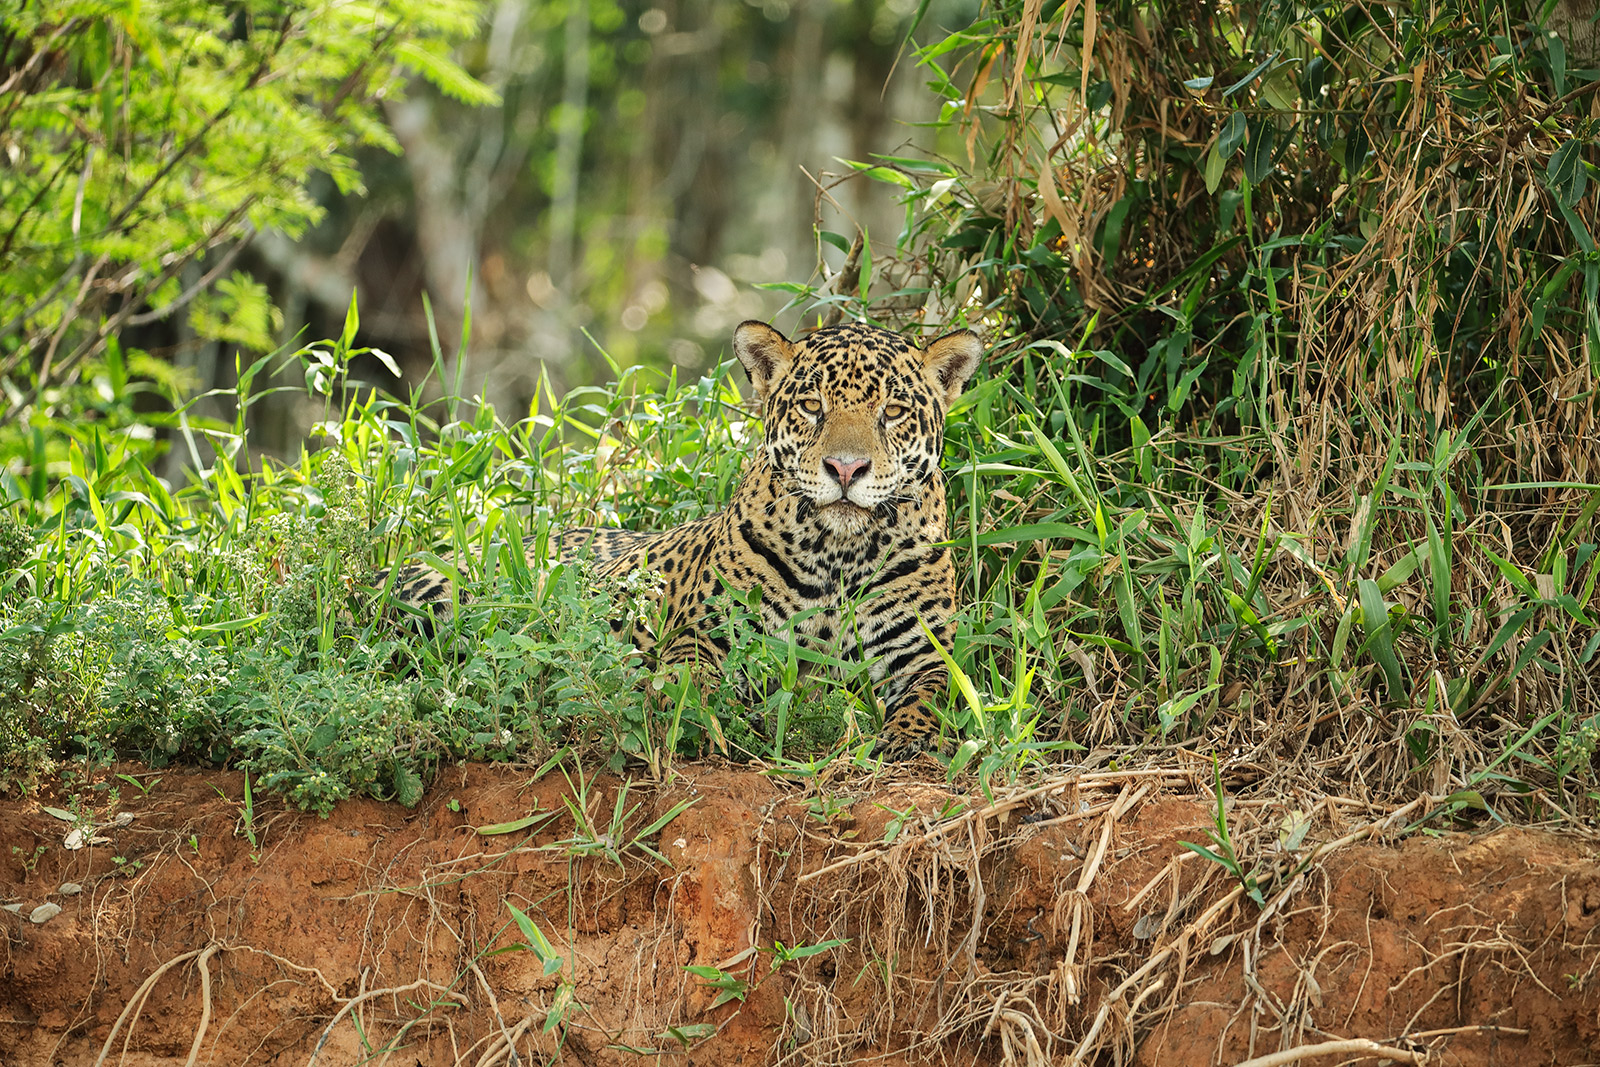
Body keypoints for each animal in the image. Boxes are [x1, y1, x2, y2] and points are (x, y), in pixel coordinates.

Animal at [386, 319, 982, 760]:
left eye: (894, 412)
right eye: (812, 406)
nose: (845, 468)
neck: (840, 552)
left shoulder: (922, 653)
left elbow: (933, 695)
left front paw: (908, 741)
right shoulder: (708, 632)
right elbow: (688, 681)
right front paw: (704, 721)